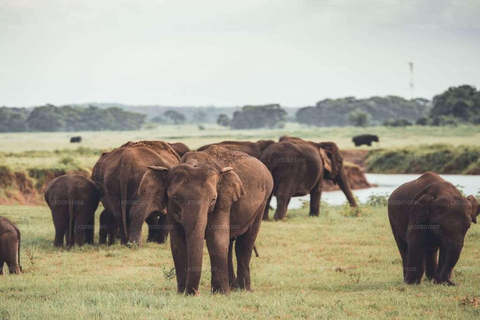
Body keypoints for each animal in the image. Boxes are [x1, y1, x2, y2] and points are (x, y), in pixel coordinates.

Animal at [136, 146, 274, 296]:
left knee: (244, 244)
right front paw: (181, 292)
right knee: (230, 244)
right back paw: (232, 288)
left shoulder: (222, 202)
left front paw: (220, 294)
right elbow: (177, 242)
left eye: (212, 199)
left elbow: (216, 239)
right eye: (175, 198)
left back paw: (244, 289)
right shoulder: (171, 209)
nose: (193, 293)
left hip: (262, 203)